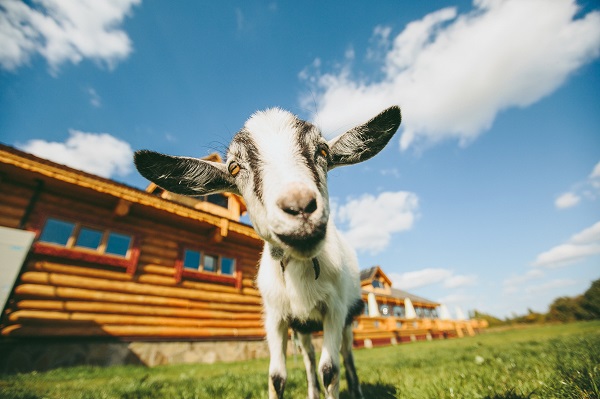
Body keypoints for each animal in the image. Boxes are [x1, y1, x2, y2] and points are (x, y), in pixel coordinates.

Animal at [134, 104, 400, 398]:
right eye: (234, 167)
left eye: (322, 151)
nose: (299, 206)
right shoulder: (275, 317)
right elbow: (277, 376)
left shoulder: (335, 309)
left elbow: (330, 370)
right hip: (303, 327)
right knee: (308, 359)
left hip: (348, 318)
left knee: (347, 356)